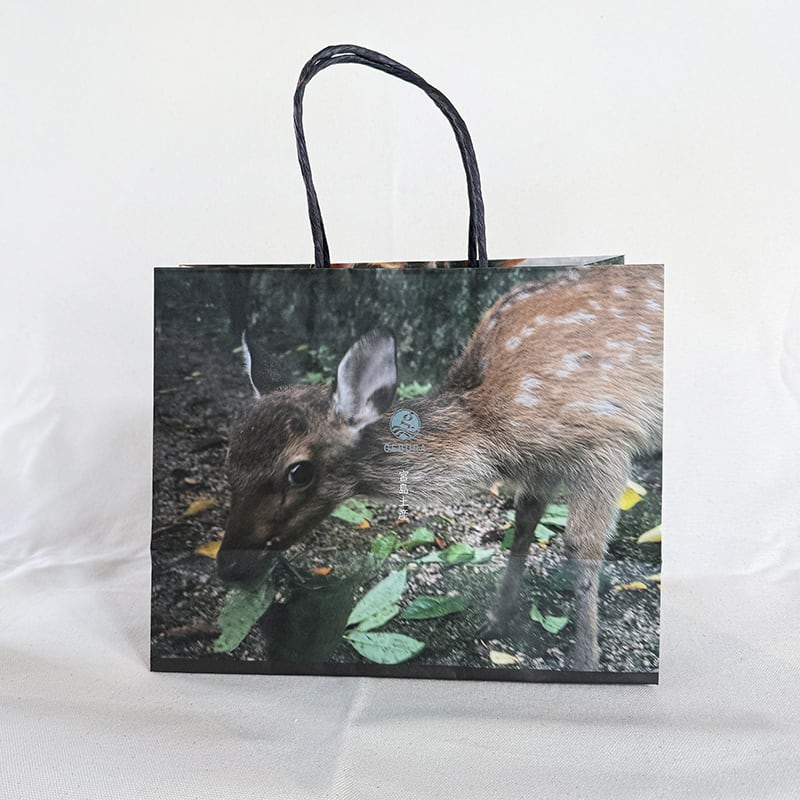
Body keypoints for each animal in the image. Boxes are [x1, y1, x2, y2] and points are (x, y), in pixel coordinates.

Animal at [217, 264, 663, 671]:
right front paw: (495, 621)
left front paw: (585, 660)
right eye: (229, 456)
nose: (228, 565)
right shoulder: (541, 466)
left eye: (299, 472)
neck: (492, 429)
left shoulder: (605, 439)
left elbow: (580, 546)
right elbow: (522, 525)